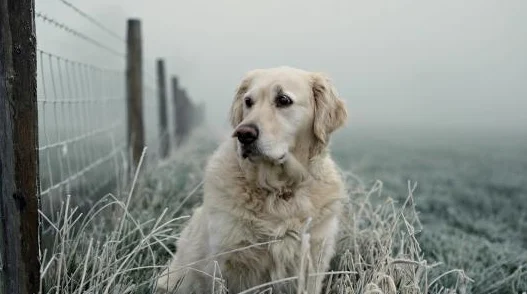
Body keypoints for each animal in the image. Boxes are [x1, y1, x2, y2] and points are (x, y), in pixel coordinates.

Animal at [155, 66, 348, 294]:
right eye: (248, 101)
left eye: (283, 99)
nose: (243, 134)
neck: (279, 191)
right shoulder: (227, 264)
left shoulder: (312, 260)